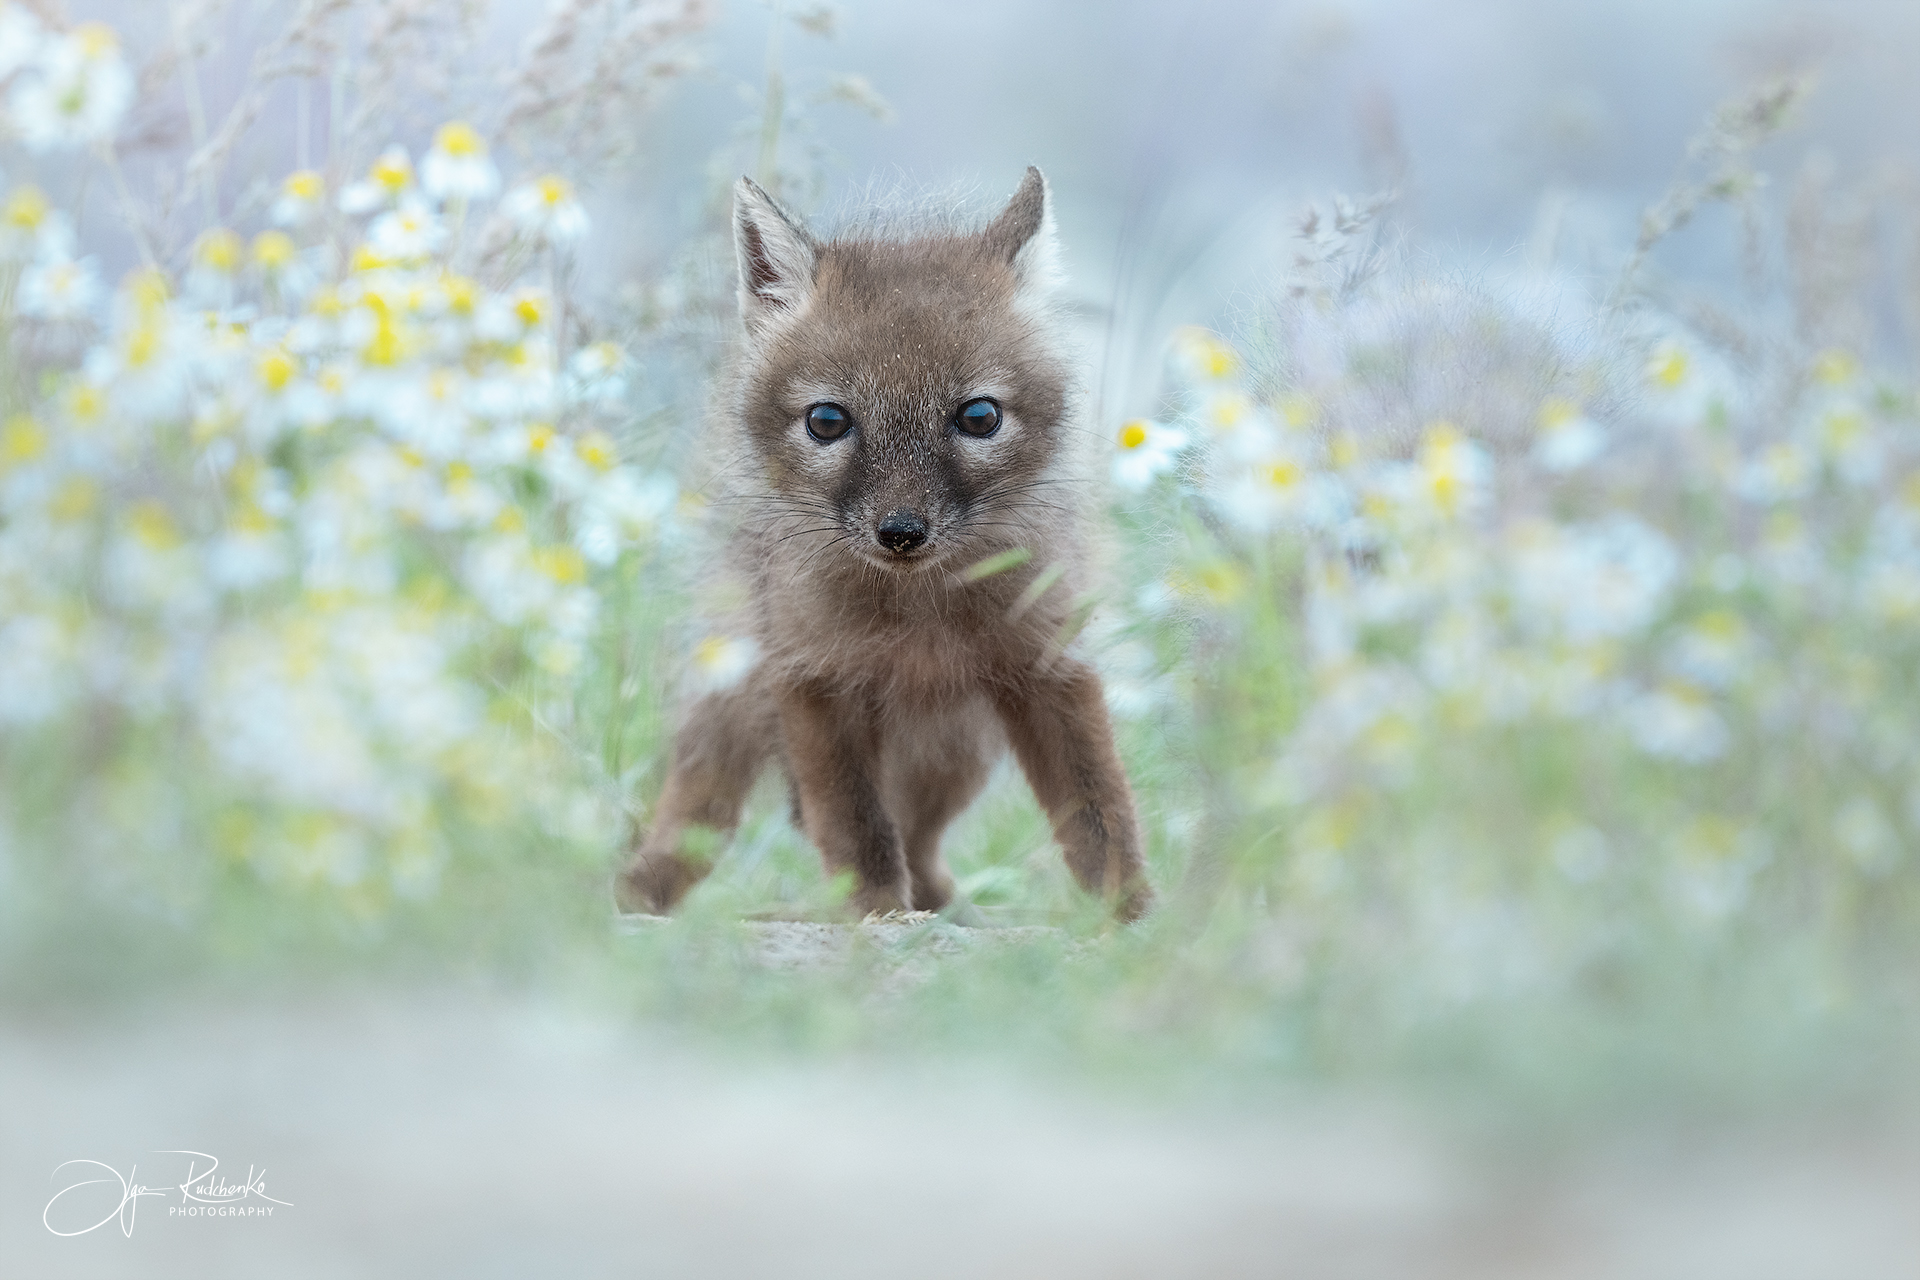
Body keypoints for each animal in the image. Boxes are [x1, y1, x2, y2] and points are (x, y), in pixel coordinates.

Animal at [615, 167, 1153, 923]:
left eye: (978, 416)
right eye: (827, 421)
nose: (900, 532)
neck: (916, 622)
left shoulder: (1049, 666)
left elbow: (1100, 813)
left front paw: (1136, 919)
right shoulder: (814, 680)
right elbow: (856, 826)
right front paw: (872, 918)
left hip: (955, 755)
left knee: (921, 844)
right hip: (739, 711)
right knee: (698, 819)